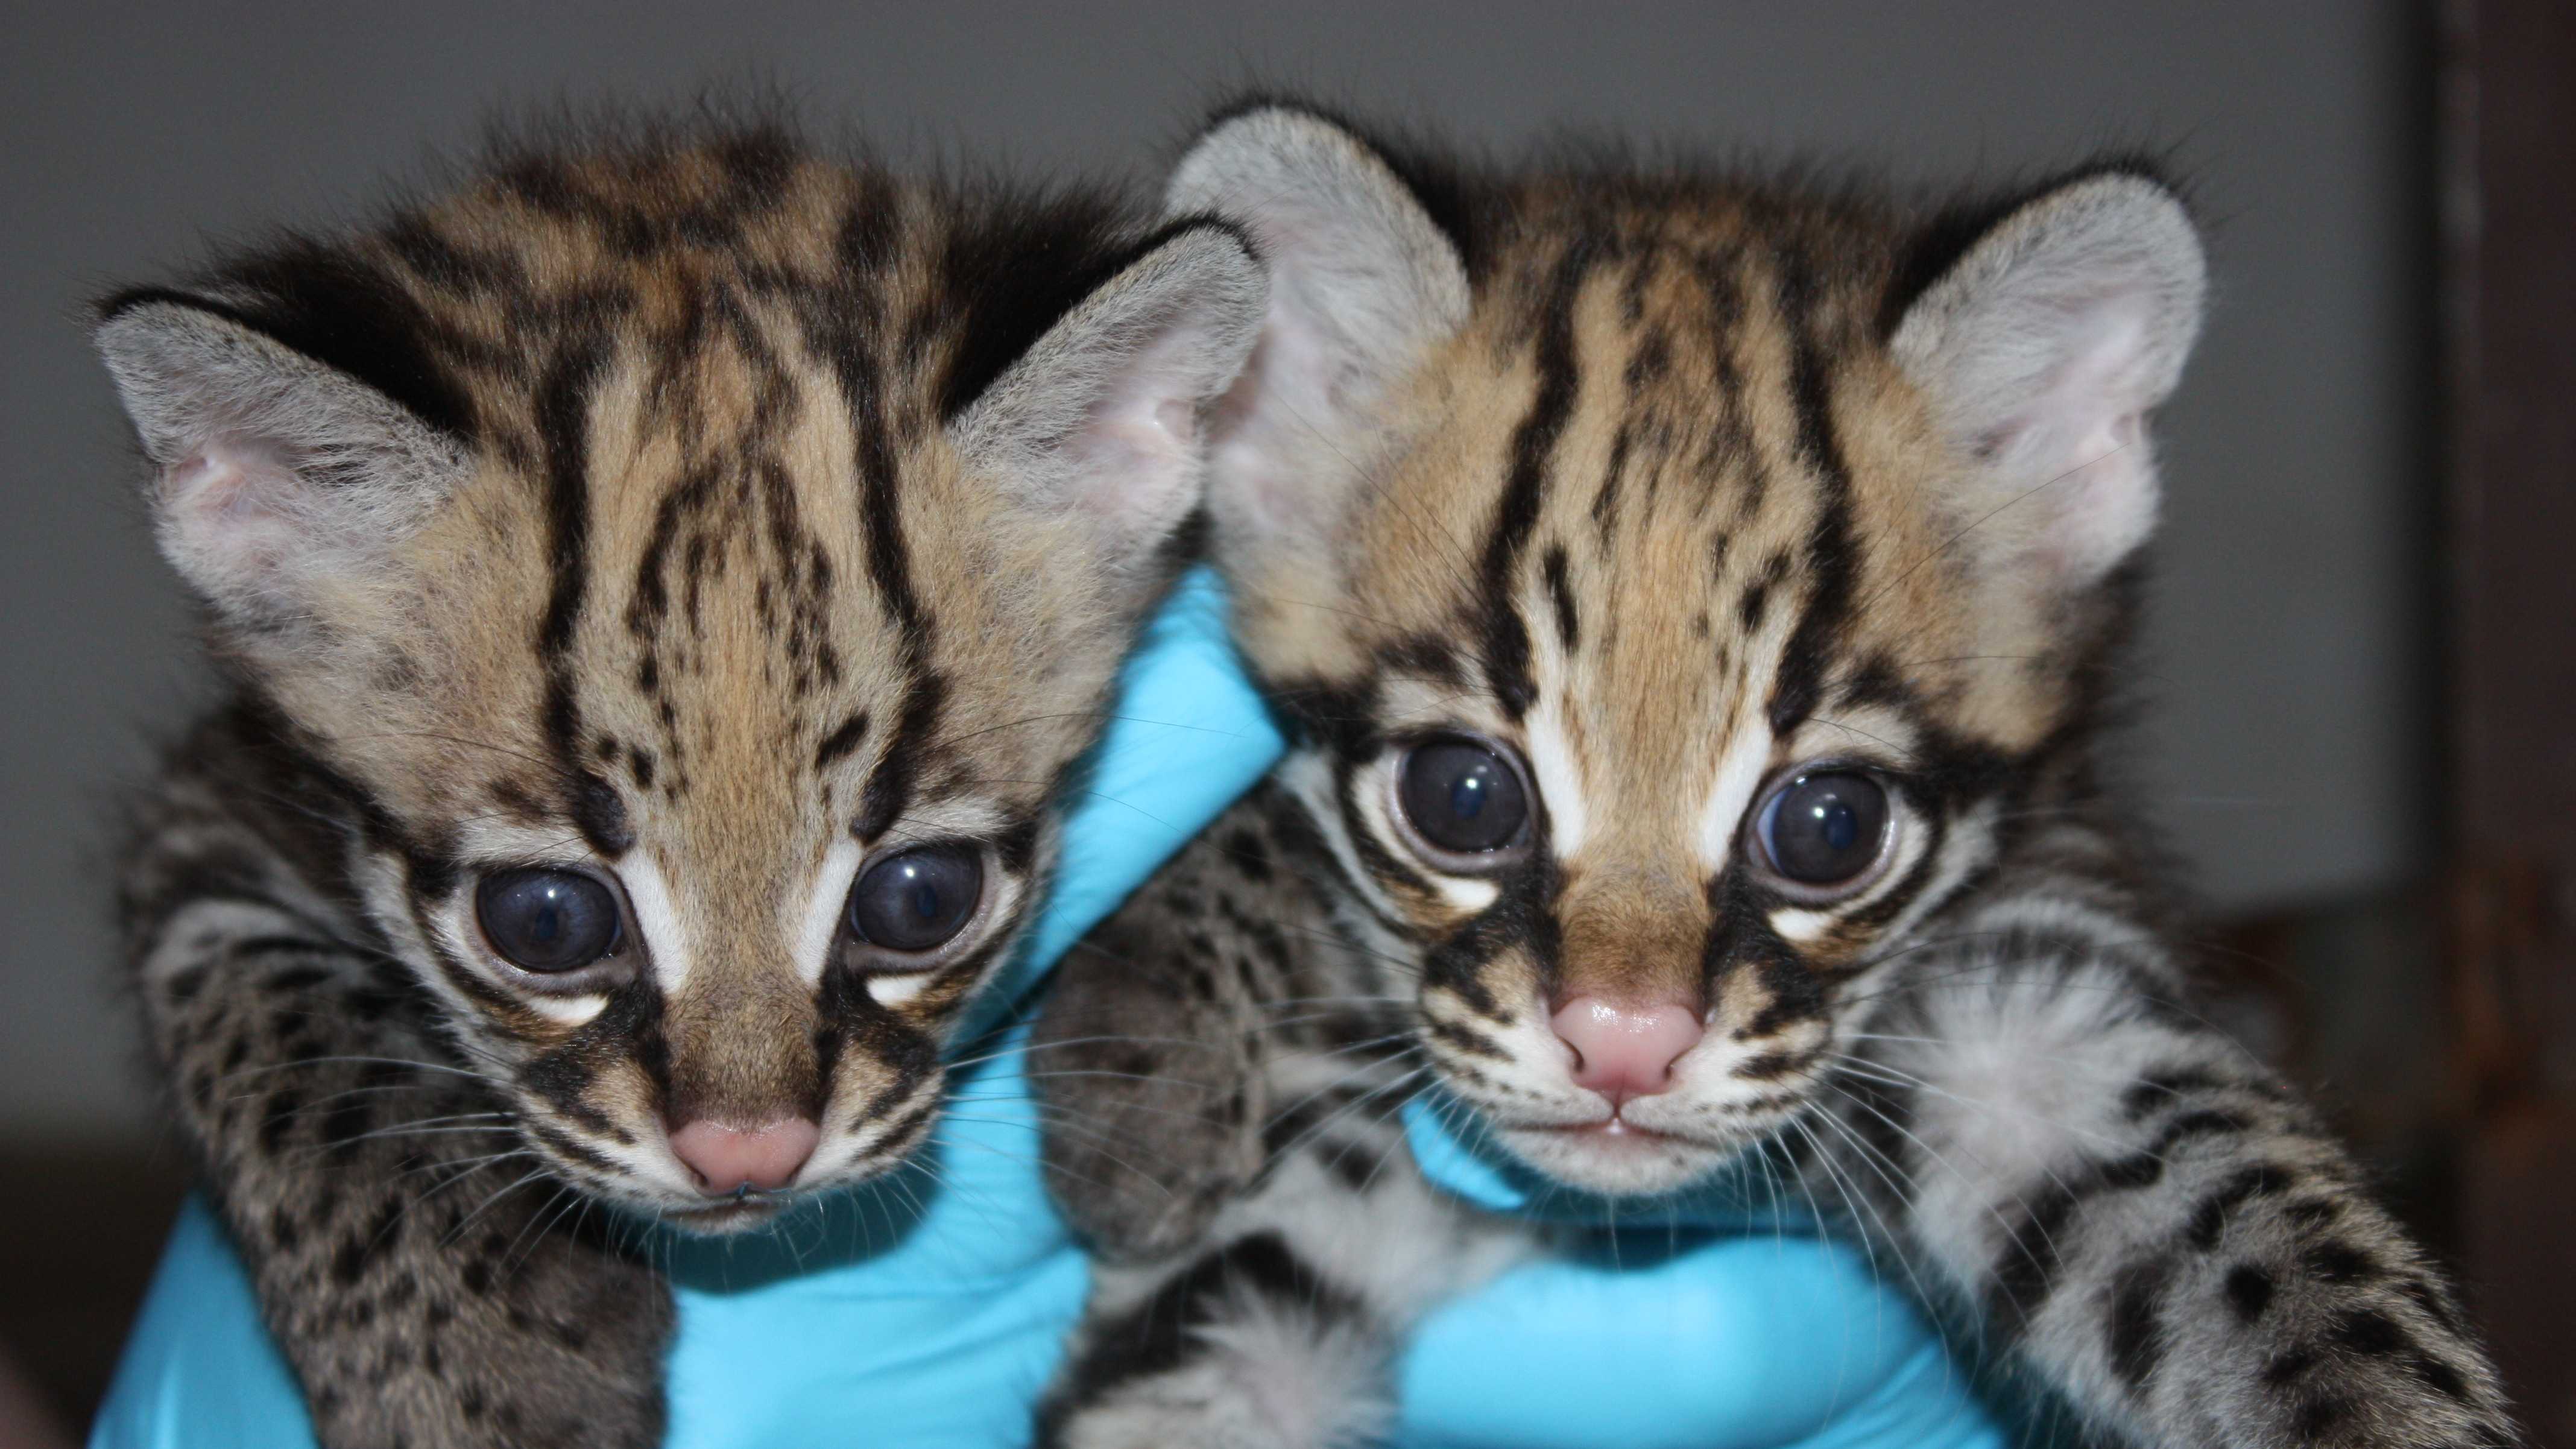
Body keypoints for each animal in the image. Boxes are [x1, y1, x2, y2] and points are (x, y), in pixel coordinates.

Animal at [95, 118, 1262, 1433]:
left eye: (923, 898)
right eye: (545, 920)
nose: (747, 1153)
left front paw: (1173, 1059)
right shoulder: (202, 810)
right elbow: (279, 1027)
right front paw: (476, 1376)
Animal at [1025, 104, 2514, 1444]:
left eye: (1829, 826)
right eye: (1462, 797)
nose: (1625, 1042)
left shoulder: (2041, 1011)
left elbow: (2268, 1253)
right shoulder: (1259, 1255)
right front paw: (1144, 1063)